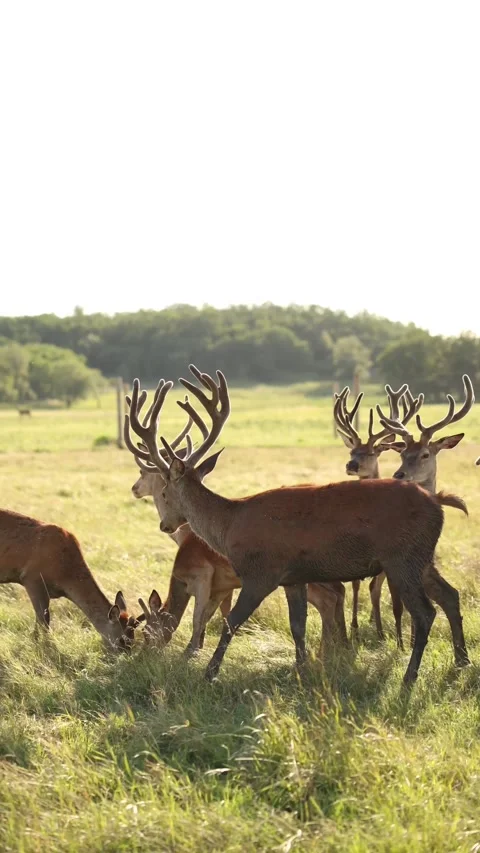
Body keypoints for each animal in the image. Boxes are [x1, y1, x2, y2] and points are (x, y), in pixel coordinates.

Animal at [0, 507, 145, 650]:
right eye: (121, 640)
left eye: (133, 640)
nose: (125, 654)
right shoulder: (32, 578)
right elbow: (43, 619)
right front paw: (41, 645)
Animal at [332, 383, 423, 647]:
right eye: (352, 451)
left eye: (372, 453)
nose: (351, 465)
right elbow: (355, 585)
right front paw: (353, 629)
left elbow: (377, 589)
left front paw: (384, 633)